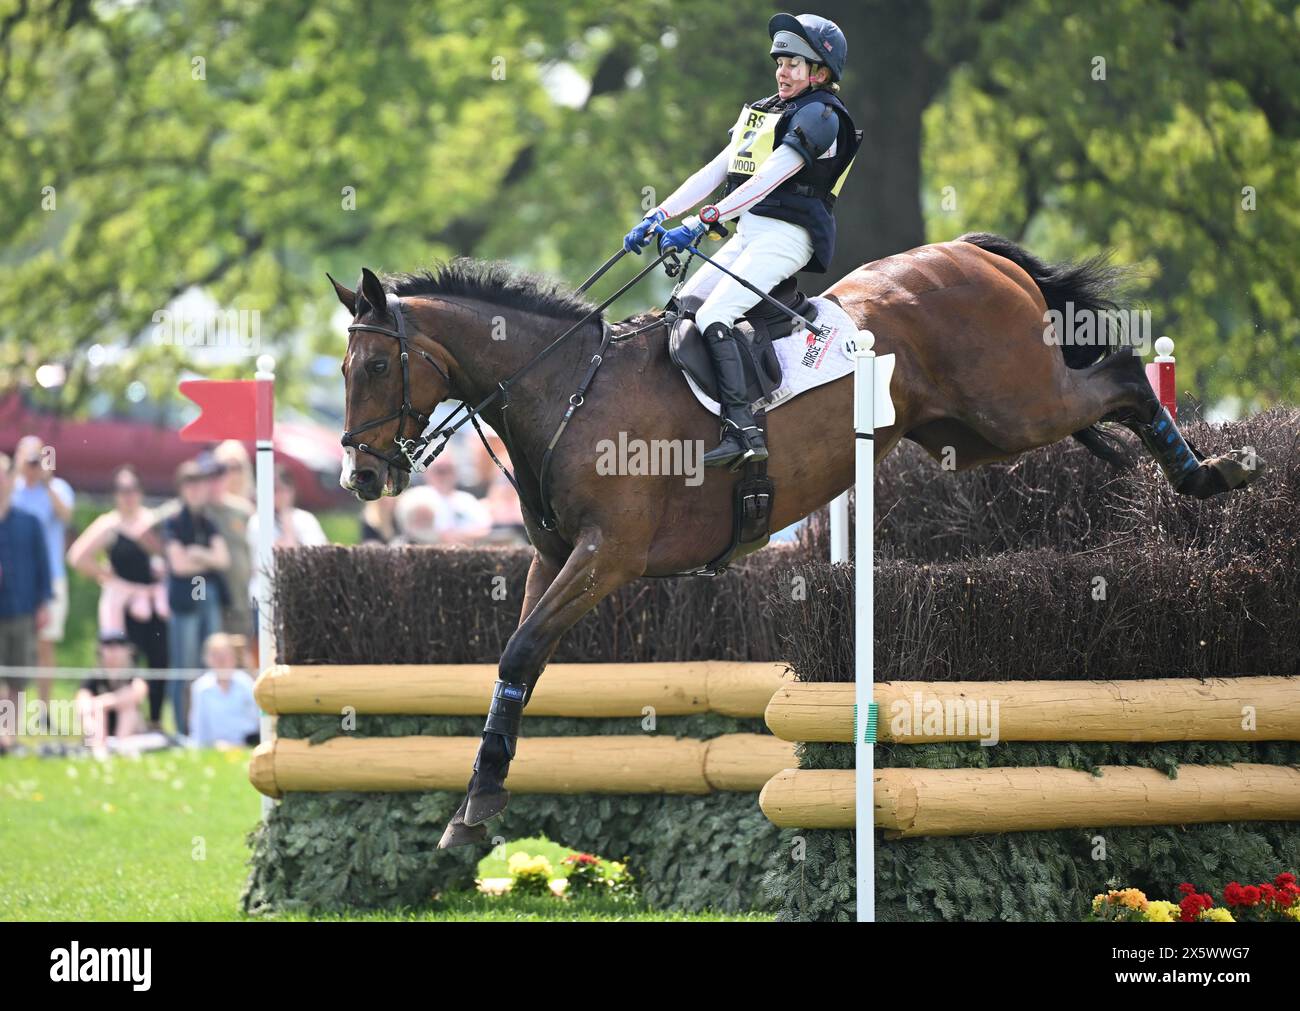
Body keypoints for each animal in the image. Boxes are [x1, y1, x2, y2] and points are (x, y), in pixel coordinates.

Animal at [330, 233, 1263, 842]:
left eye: (374, 366)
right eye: (341, 370)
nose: (360, 480)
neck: (565, 389)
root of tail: (970, 249)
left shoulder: (609, 557)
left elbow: (522, 651)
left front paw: (478, 803)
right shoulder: (556, 557)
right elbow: (514, 664)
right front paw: (475, 801)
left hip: (1016, 403)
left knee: (1122, 376)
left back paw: (1210, 473)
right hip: (972, 435)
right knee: (1096, 395)